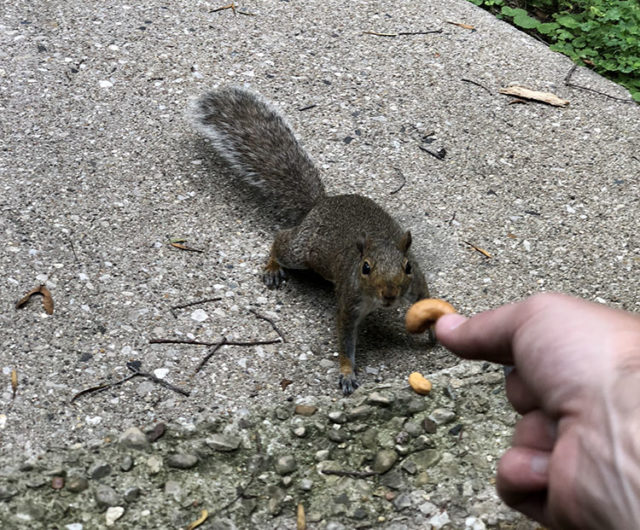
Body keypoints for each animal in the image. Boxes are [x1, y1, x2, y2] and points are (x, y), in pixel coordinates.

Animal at [190, 86, 430, 392]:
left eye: (407, 266)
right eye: (365, 268)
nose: (389, 295)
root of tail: (320, 204)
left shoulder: (417, 285)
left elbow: (426, 299)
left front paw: (433, 333)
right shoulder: (349, 303)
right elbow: (345, 340)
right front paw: (347, 373)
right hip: (301, 251)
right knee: (281, 240)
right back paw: (272, 268)